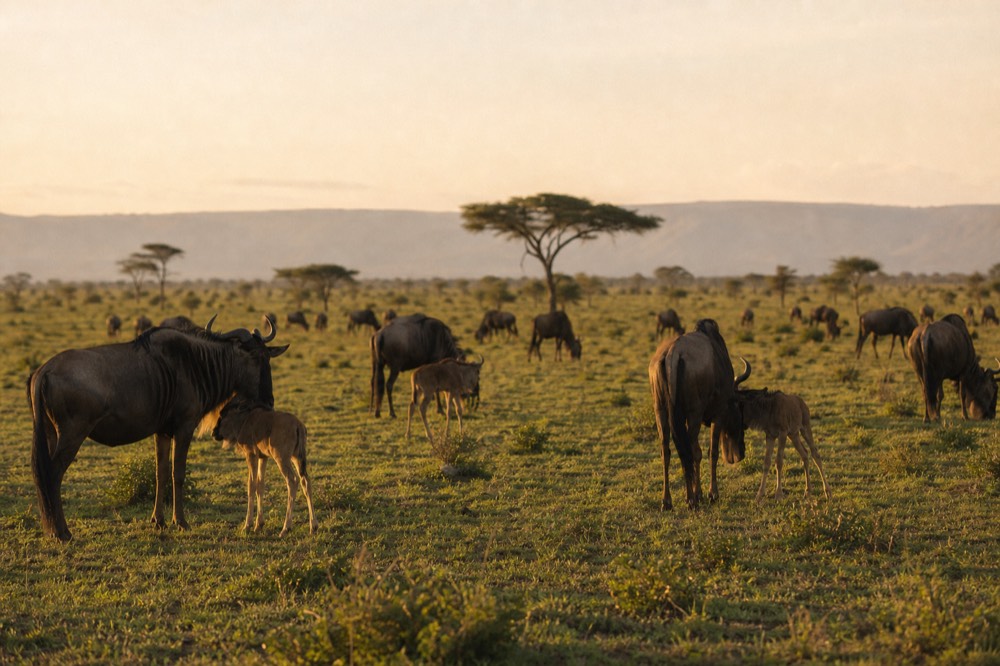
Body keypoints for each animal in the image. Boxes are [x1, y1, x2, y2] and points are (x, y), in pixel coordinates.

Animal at [27, 315, 289, 540]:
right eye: (255, 358)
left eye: (268, 357)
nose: (268, 401)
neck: (195, 363)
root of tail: (43, 371)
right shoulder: (184, 428)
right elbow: (178, 474)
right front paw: (180, 522)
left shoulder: (162, 431)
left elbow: (160, 473)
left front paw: (158, 520)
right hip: (72, 435)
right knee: (52, 475)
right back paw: (62, 532)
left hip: (51, 434)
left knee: (43, 474)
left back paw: (52, 529)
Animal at [647, 318, 751, 510]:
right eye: (740, 415)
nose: (740, 454)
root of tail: (673, 353)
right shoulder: (718, 415)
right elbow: (711, 452)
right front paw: (711, 494)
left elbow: (698, 453)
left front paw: (700, 493)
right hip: (693, 414)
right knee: (687, 453)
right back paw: (690, 500)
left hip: (660, 412)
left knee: (666, 451)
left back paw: (667, 501)